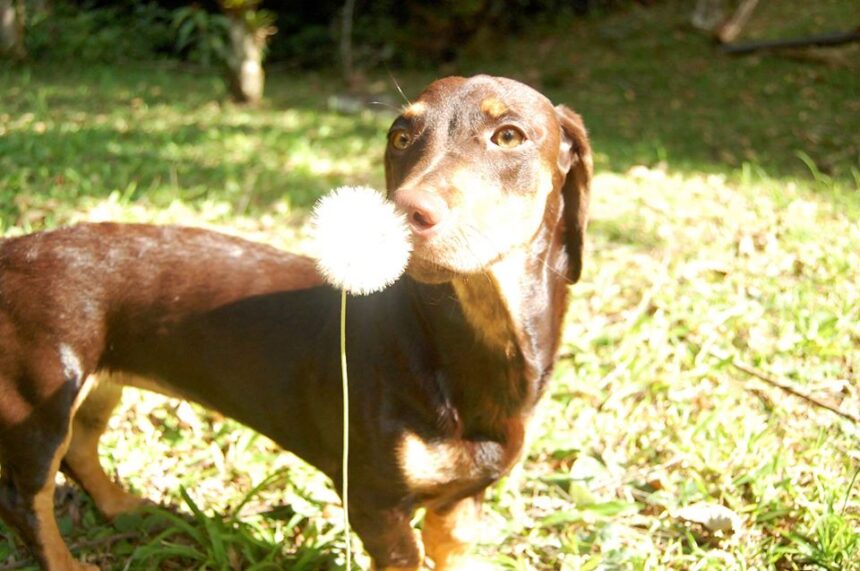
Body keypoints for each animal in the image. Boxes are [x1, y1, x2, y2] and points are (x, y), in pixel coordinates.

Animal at [0, 75, 592, 568]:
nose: (400, 216)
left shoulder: (462, 501)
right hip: (39, 401)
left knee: (81, 448)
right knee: (27, 499)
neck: (461, 347)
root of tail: (13, 249)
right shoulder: (375, 502)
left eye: (509, 135)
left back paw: (123, 505)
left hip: (98, 382)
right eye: (401, 137)